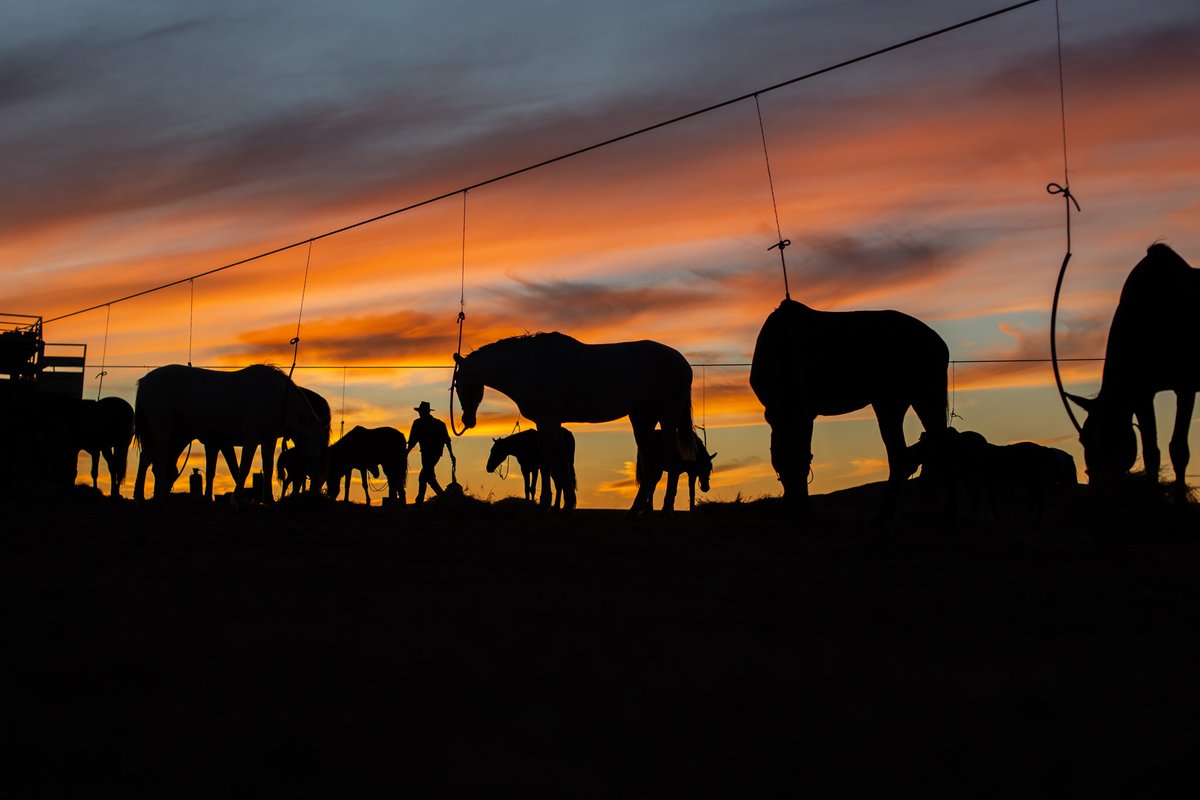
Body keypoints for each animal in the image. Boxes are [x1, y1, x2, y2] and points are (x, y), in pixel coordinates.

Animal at [133, 367, 331, 503]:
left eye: (322, 440)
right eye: (305, 437)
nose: (314, 465)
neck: (276, 396)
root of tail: (144, 381)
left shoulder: (268, 440)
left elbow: (266, 468)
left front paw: (268, 500)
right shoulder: (250, 438)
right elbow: (243, 467)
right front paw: (239, 499)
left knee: (146, 458)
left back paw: (140, 495)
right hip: (162, 430)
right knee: (158, 460)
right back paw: (159, 497)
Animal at [451, 333, 696, 513]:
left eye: (458, 382)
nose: (467, 420)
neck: (528, 365)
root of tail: (682, 362)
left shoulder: (547, 421)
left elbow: (547, 463)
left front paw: (545, 504)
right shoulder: (554, 423)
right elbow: (561, 466)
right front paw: (568, 505)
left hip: (667, 419)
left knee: (672, 463)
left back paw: (666, 509)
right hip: (642, 420)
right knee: (652, 466)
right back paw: (635, 511)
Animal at [748, 299, 945, 520]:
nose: (797, 505)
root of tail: (939, 343)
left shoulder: (804, 412)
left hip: (906, 399)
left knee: (912, 454)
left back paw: (887, 513)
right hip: (902, 401)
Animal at [1070, 242, 1200, 489]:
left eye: (1112, 435)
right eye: (1082, 438)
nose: (1097, 482)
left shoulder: (1185, 386)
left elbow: (1179, 449)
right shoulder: (1141, 394)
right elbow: (1151, 453)